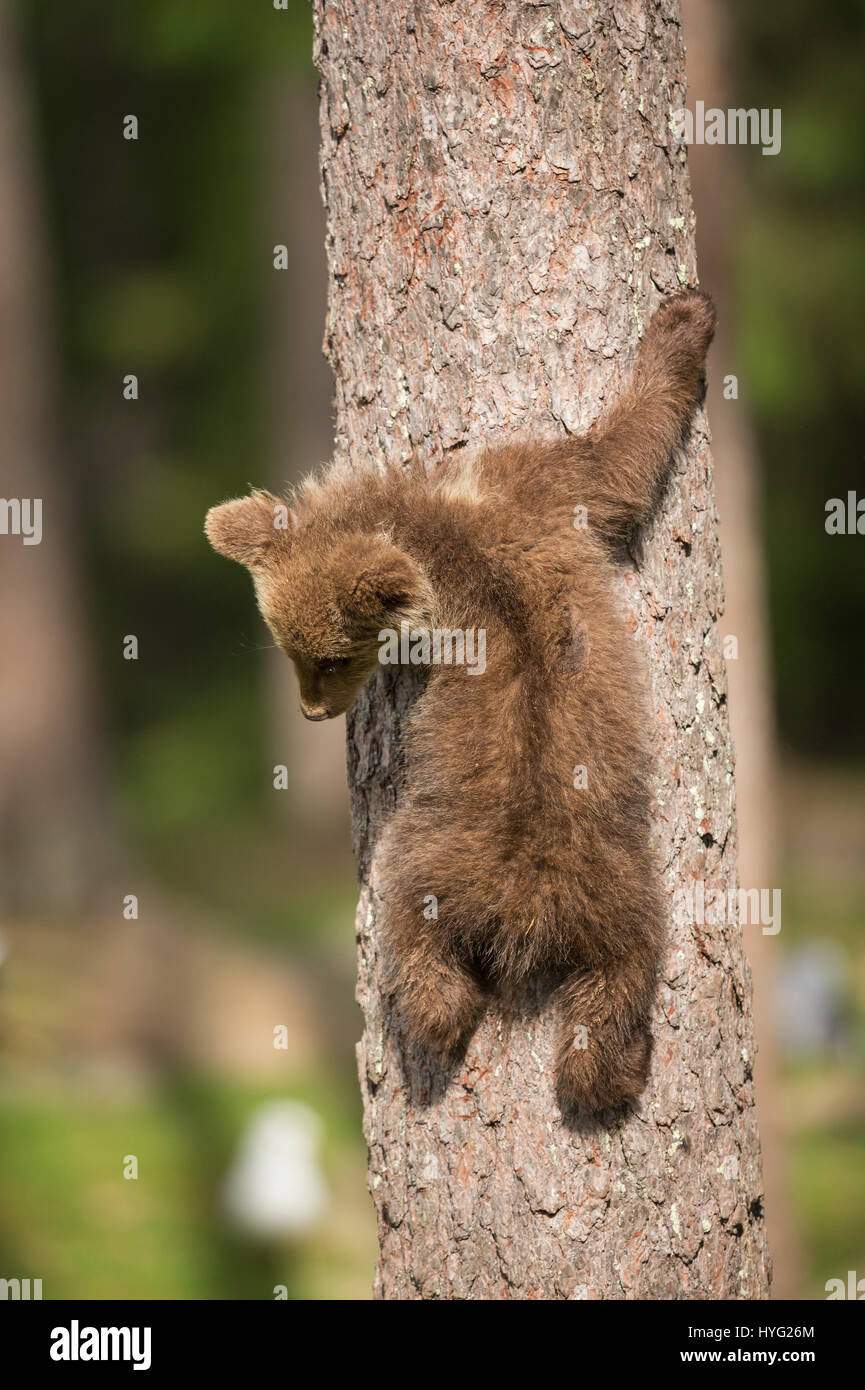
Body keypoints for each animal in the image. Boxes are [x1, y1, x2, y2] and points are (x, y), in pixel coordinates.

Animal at [205, 288, 716, 1112]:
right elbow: (616, 458)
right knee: (601, 982)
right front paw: (685, 320)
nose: (313, 711)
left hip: (494, 867)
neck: (430, 517)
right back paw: (608, 1068)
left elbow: (617, 455)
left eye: (329, 657)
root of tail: (528, 908)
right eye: (290, 652)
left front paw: (681, 319)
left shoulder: (529, 489)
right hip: (608, 888)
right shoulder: (537, 491)